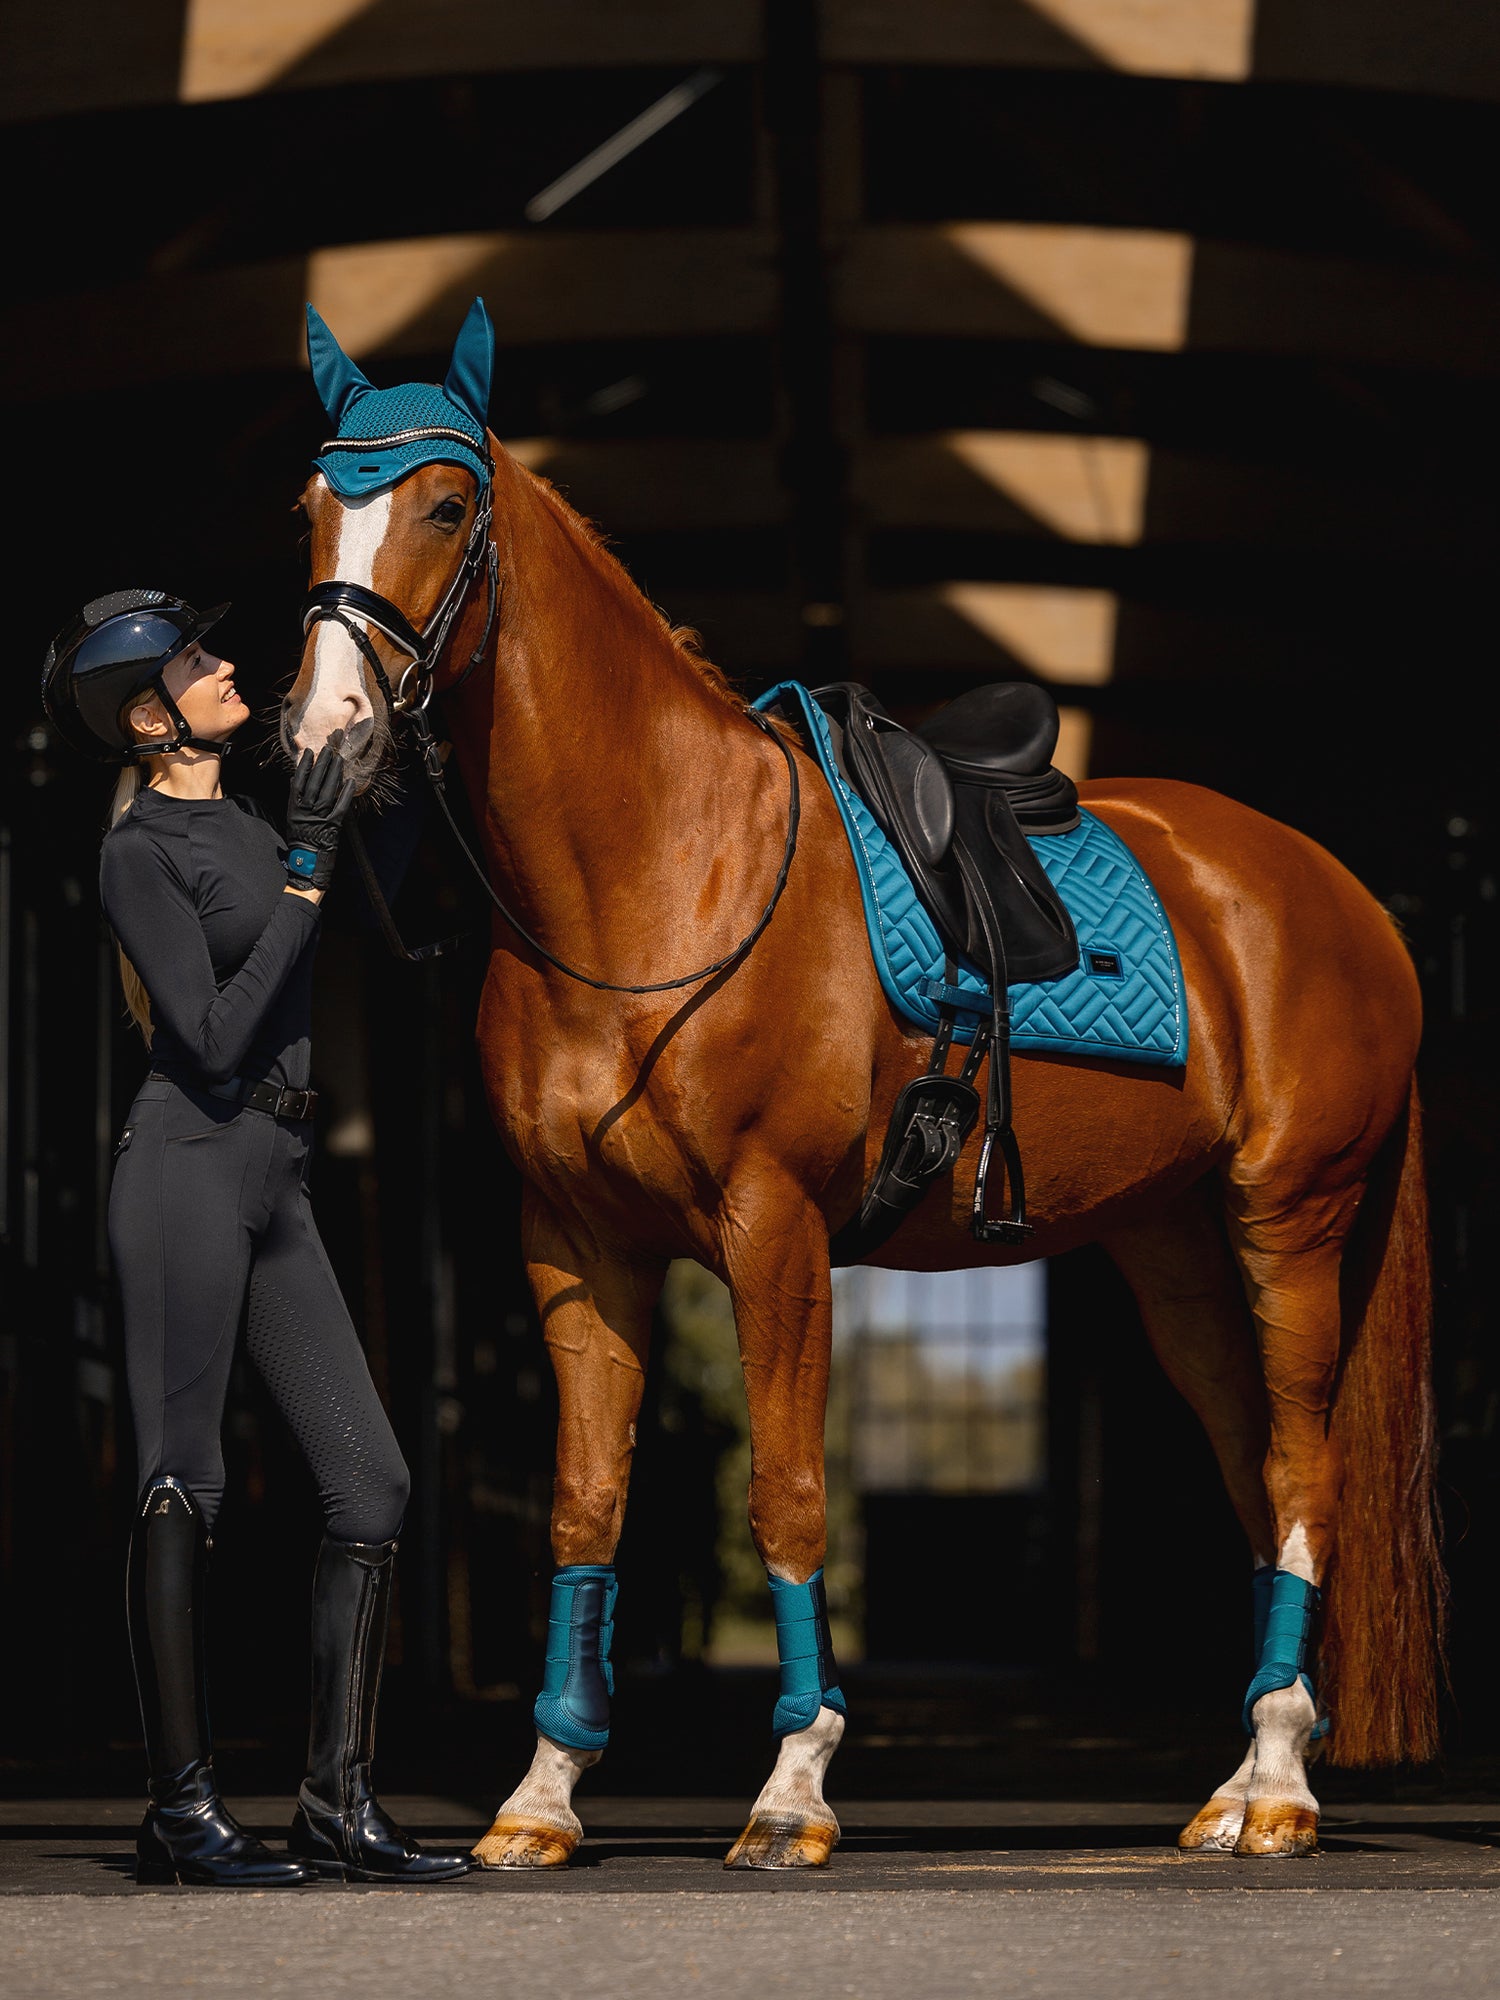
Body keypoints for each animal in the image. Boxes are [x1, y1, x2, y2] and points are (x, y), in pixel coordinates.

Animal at [282, 303, 1441, 1870]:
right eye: (311, 505)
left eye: (449, 505)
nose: (322, 734)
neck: (665, 875)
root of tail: (1342, 896)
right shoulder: (575, 1250)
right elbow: (587, 1508)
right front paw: (542, 1795)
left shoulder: (773, 1232)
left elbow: (787, 1495)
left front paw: (793, 1786)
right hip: (1178, 1259)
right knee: (1257, 1476)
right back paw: (1243, 1775)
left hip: (1289, 1227)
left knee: (1306, 1476)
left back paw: (1277, 1792)